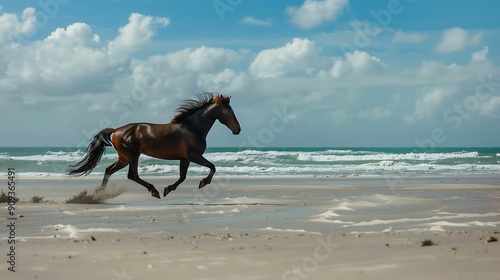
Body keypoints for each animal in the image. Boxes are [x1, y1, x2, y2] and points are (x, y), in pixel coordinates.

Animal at [67, 93, 242, 199]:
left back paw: (99, 192)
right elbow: (212, 167)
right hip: (133, 155)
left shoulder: (185, 158)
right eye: (229, 111)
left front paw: (168, 189)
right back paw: (154, 191)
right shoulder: (194, 155)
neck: (192, 127)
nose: (238, 129)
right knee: (132, 175)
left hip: (124, 157)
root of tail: (116, 130)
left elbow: (182, 177)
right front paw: (203, 182)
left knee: (109, 170)